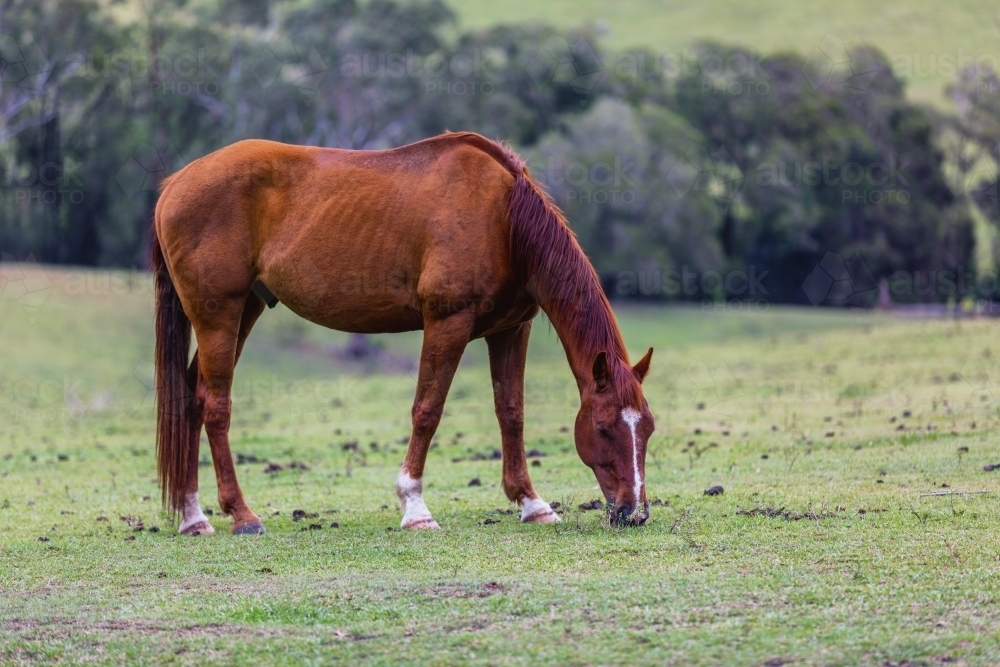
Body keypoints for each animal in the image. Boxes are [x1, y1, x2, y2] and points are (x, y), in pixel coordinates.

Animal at [152, 133, 656, 536]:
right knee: (215, 406)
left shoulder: (512, 330)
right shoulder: (447, 323)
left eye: (647, 429)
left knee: (191, 398)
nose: (633, 513)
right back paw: (241, 515)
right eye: (604, 427)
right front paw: (415, 508)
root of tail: (173, 184)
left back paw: (193, 517)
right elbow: (427, 411)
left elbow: (510, 412)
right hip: (219, 316)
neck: (502, 216)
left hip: (245, 311)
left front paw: (532, 504)